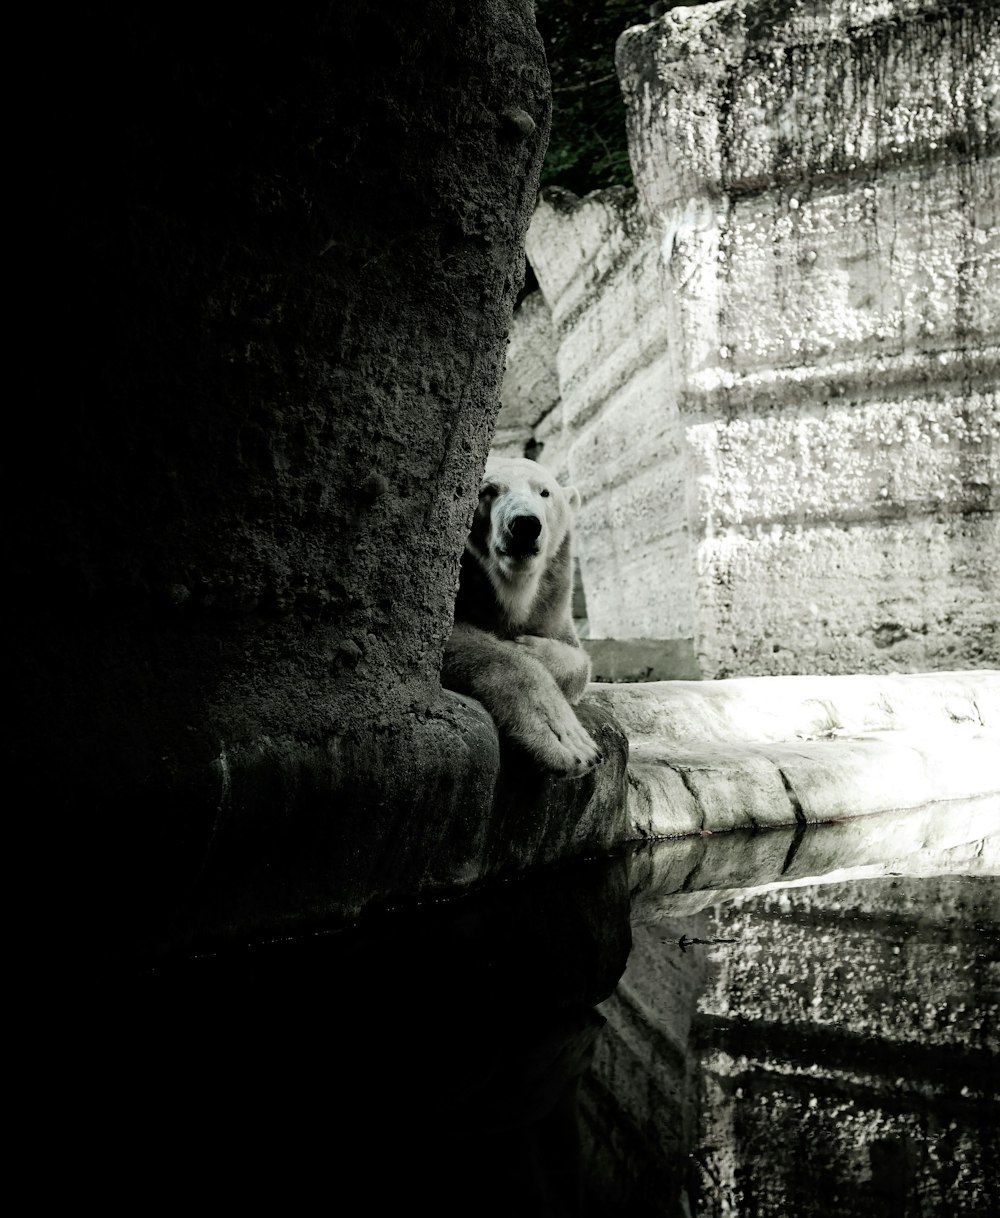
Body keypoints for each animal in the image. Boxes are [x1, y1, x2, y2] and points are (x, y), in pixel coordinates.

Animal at [440, 453, 596, 774]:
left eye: (545, 492)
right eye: (487, 491)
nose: (524, 524)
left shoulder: (553, 601)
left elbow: (579, 661)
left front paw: (529, 646)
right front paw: (568, 743)